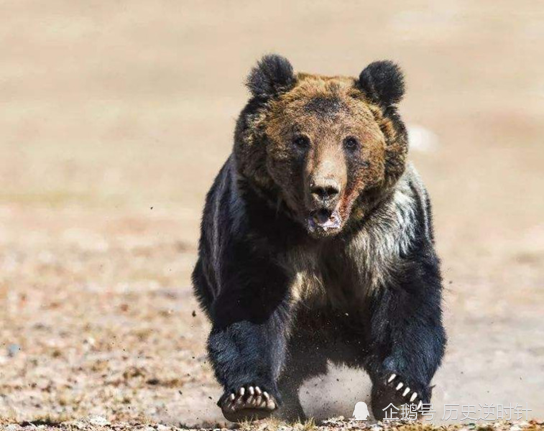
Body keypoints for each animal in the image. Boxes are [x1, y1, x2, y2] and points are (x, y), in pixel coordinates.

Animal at [192, 54, 446, 422]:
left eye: (350, 141)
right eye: (301, 139)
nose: (324, 189)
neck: (325, 235)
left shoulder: (387, 233)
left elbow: (408, 302)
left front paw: (401, 389)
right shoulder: (261, 230)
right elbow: (251, 307)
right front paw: (250, 395)